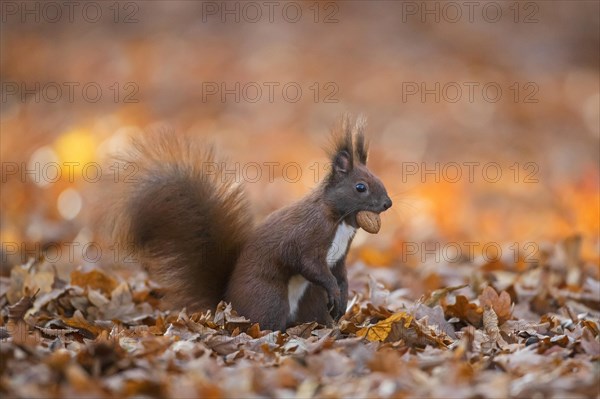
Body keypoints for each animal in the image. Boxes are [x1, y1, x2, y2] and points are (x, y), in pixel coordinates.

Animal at [105, 115, 392, 332]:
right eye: (361, 187)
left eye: (378, 178)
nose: (388, 204)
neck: (340, 220)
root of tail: (227, 303)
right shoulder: (307, 238)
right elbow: (311, 265)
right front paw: (334, 290)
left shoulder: (340, 256)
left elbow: (341, 275)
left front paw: (342, 299)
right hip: (268, 297)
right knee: (267, 320)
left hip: (309, 299)